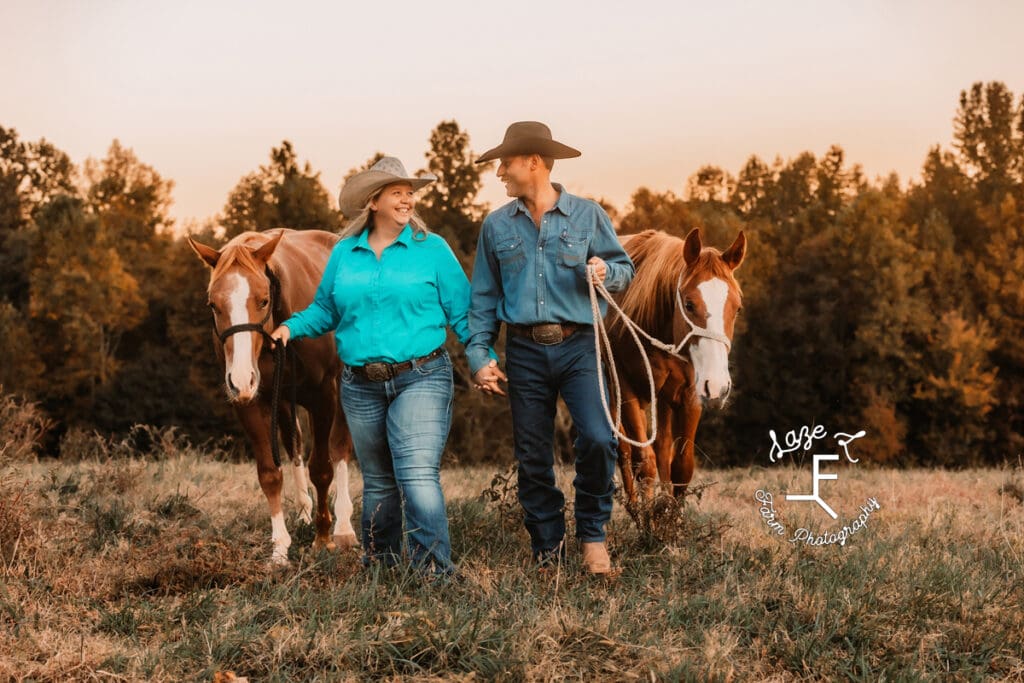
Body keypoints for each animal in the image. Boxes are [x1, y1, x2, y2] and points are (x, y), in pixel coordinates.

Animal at [190, 227, 358, 565]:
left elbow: (323, 468)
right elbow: (270, 473)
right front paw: (280, 548)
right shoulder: (251, 401)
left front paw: (323, 538)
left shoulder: (323, 396)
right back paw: (305, 512)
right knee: (295, 445)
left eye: (264, 300)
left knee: (340, 448)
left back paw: (344, 526)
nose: (241, 377)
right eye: (213, 305)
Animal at [606, 229, 745, 501]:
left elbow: (681, 467)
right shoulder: (626, 389)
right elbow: (643, 462)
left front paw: (670, 513)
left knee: (661, 447)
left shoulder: (690, 394)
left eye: (737, 309)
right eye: (689, 305)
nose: (719, 386)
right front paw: (645, 513)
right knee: (625, 450)